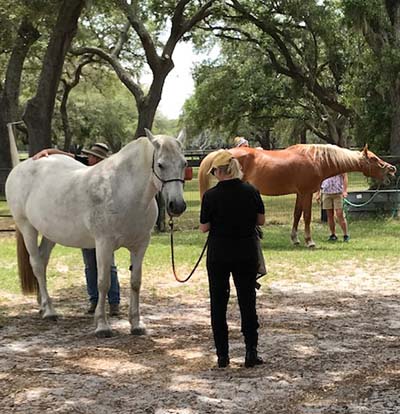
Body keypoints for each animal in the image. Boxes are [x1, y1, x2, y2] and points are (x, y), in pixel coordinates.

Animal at [5, 129, 188, 336]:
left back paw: (43, 305)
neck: (123, 190)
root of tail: (21, 166)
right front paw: (102, 325)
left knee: (42, 262)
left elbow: (135, 282)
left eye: (184, 163)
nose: (177, 205)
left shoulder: (140, 245)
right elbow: (103, 282)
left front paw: (136, 324)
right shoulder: (103, 244)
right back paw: (50, 311)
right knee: (36, 264)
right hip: (27, 227)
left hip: (50, 233)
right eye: (160, 165)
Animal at [200, 145, 396, 247]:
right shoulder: (307, 192)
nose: (392, 169)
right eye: (374, 159)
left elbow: (296, 215)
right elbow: (307, 216)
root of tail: (223, 152)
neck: (317, 160)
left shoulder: (300, 194)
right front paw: (309, 241)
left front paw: (295, 239)